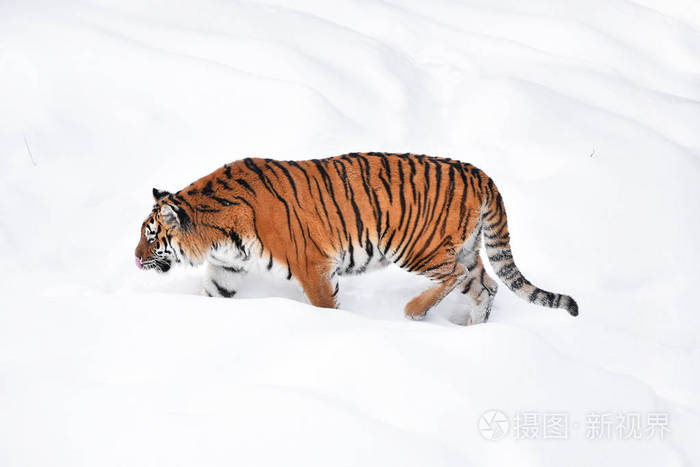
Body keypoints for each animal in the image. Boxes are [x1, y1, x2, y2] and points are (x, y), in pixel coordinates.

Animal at [134, 152, 578, 324]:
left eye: (152, 236)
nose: (135, 259)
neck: (219, 234)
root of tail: (479, 172)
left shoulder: (312, 265)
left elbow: (324, 306)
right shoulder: (227, 268)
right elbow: (213, 295)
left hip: (418, 248)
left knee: (456, 276)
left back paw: (414, 311)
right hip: (467, 249)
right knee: (486, 285)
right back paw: (472, 330)